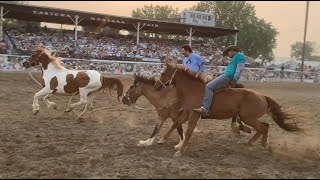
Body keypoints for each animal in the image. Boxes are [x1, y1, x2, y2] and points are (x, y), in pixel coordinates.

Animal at [154, 61, 304, 157]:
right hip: (249, 118)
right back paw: (259, 144)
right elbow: (176, 123)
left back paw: (255, 144)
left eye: (163, 73)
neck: (193, 89)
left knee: (263, 128)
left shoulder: (195, 114)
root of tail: (262, 96)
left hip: (248, 118)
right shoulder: (187, 112)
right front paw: (163, 140)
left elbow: (189, 131)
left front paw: (179, 151)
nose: (156, 86)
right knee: (265, 126)